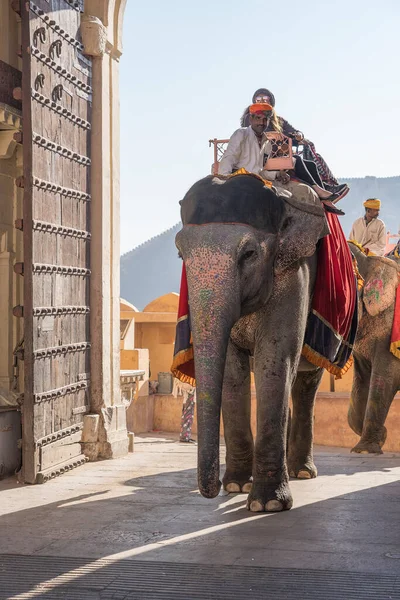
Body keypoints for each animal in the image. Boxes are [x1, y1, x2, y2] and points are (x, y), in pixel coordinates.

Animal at [174, 172, 354, 510]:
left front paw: (267, 504)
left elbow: (275, 357)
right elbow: (232, 372)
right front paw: (235, 485)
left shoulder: (294, 274)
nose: (212, 489)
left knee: (304, 383)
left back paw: (302, 472)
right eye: (180, 254)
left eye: (249, 254)